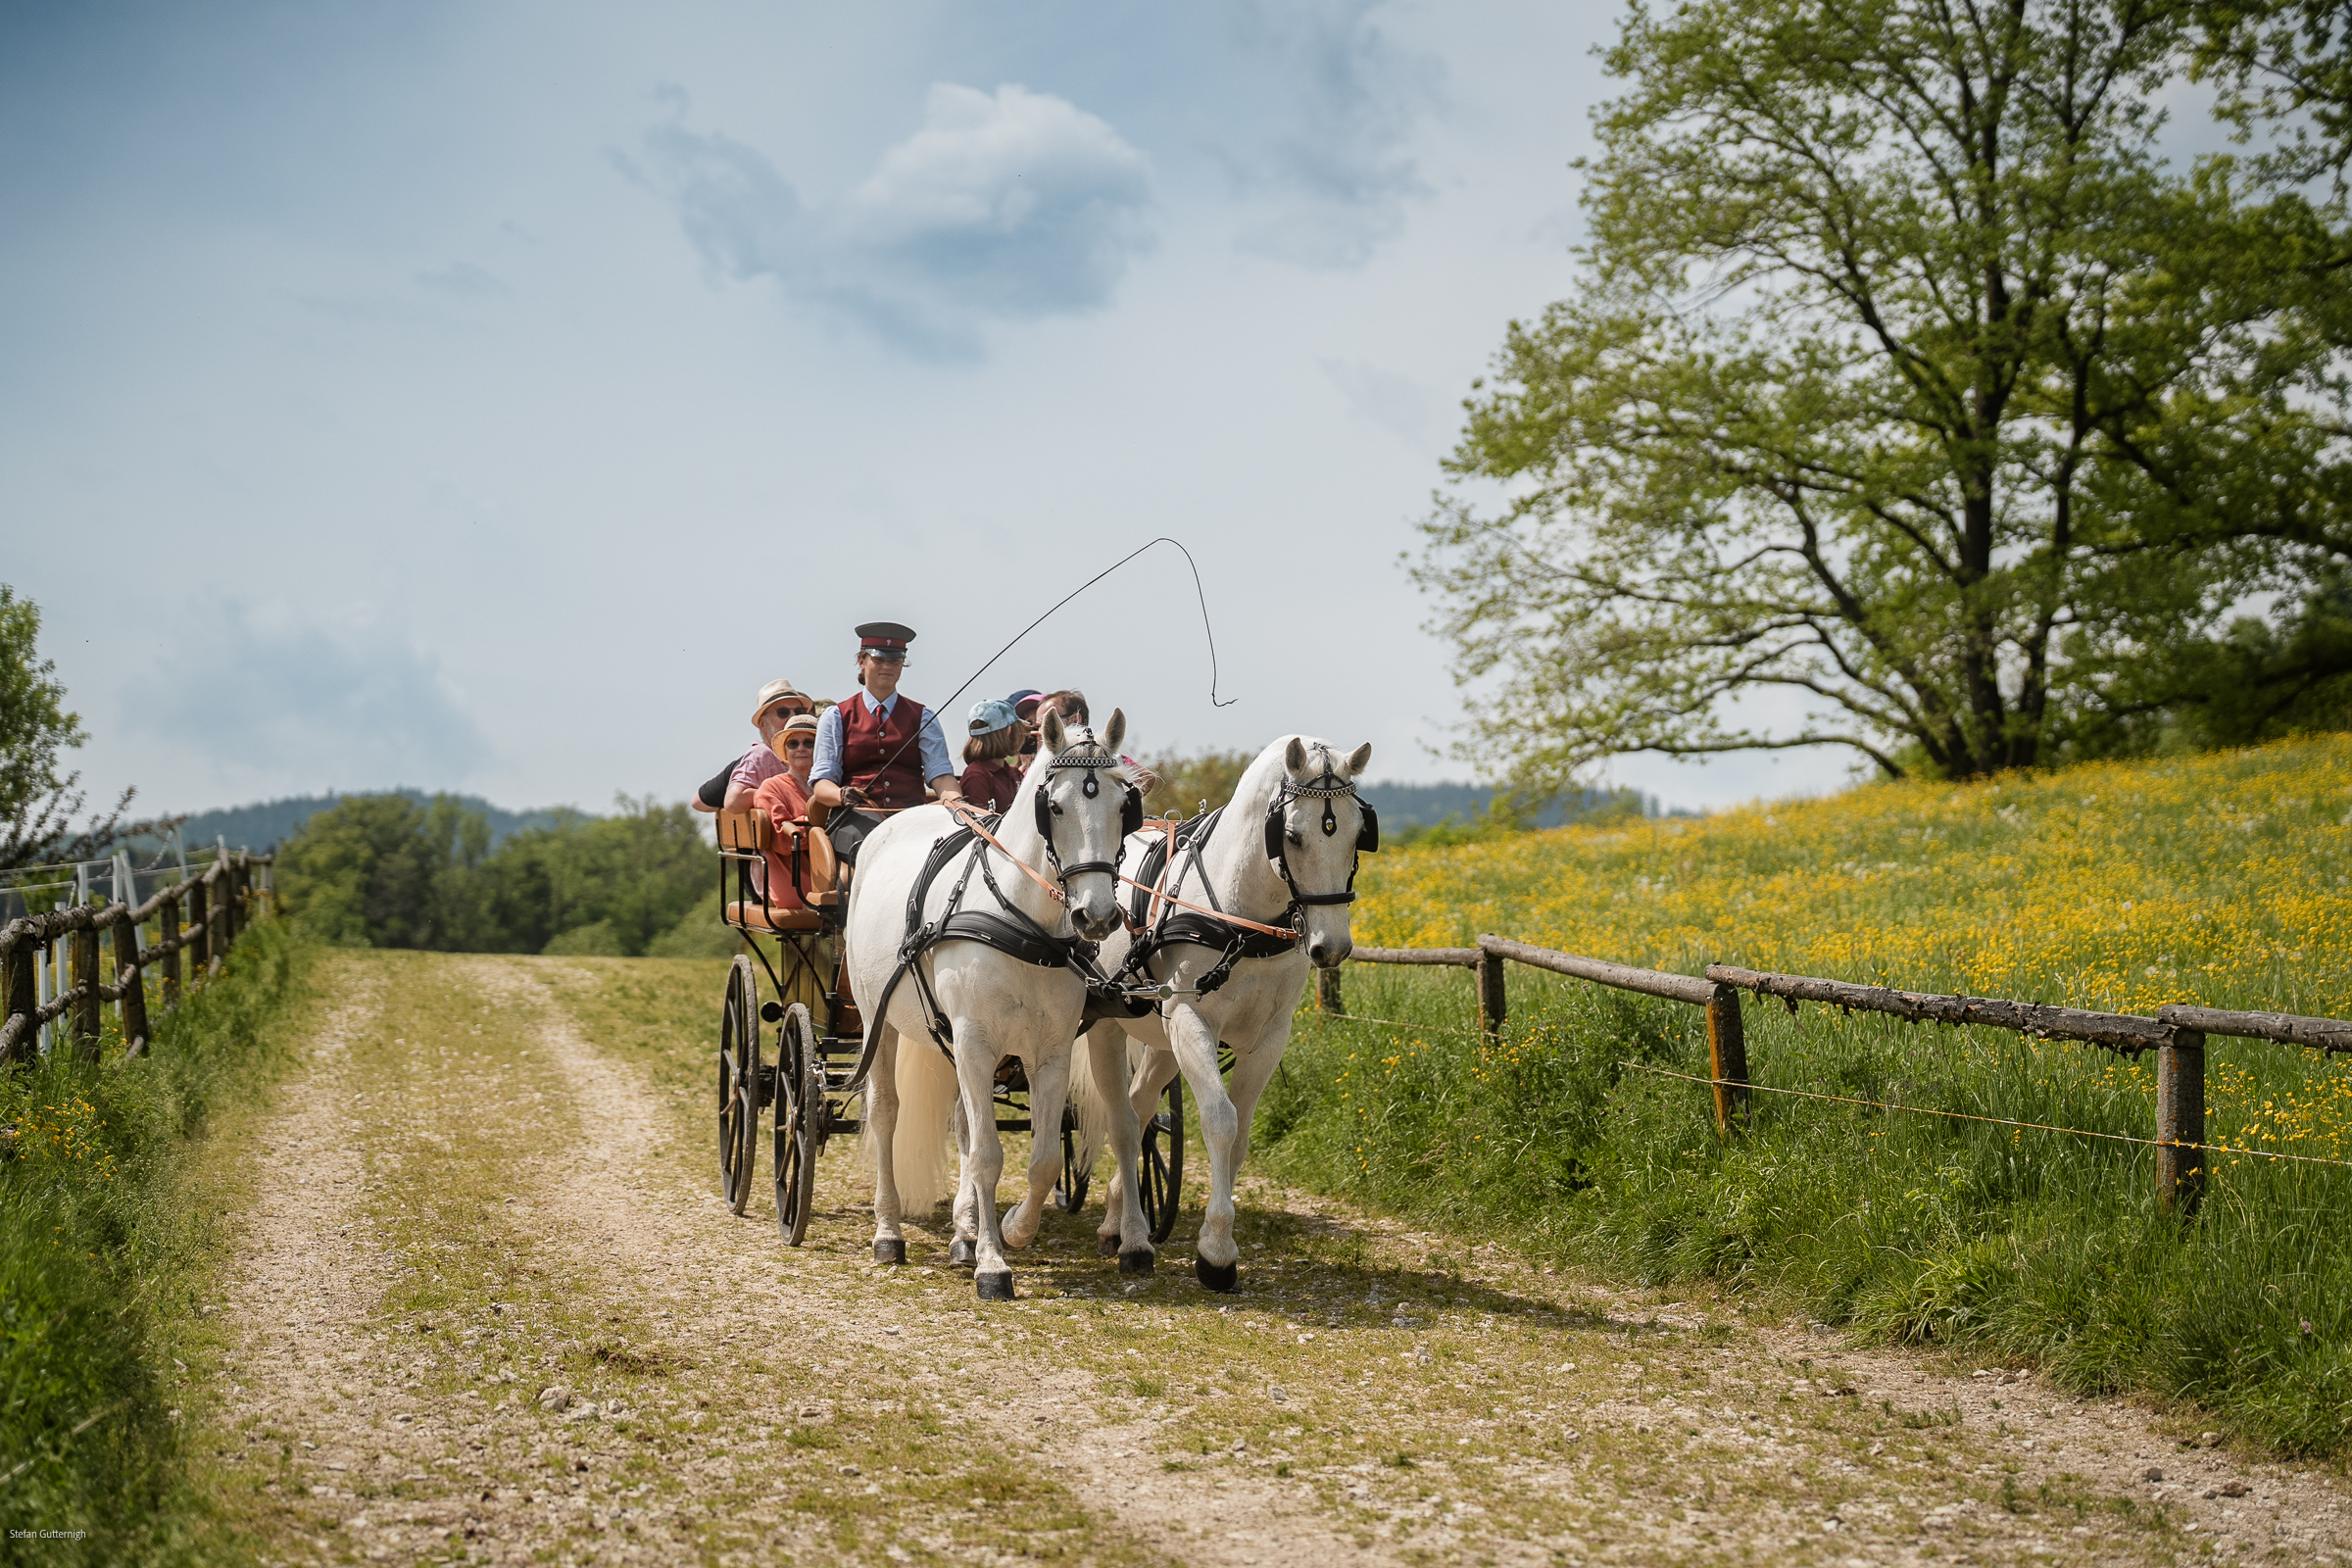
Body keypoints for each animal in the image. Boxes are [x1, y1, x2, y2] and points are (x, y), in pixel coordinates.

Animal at [844, 708, 1139, 1301]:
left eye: (1124, 806)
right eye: (1054, 807)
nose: (1096, 917)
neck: (1022, 923)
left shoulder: (1049, 1052)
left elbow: (1043, 1159)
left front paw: (1011, 1231)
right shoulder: (976, 1043)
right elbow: (986, 1155)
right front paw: (993, 1264)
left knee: (962, 1121)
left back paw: (962, 1233)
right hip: (876, 1022)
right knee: (885, 1114)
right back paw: (889, 1233)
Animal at [1070, 735, 1375, 1289]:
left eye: (1359, 834)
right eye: (1292, 835)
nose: (1332, 947)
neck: (1243, 920)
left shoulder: (1269, 1036)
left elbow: (1242, 1135)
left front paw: (1217, 1240)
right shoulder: (1194, 1022)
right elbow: (1220, 1120)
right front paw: (1215, 1253)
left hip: (1162, 1040)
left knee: (1141, 1108)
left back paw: (1116, 1219)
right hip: (1110, 1023)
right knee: (1122, 1118)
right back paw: (1129, 1235)